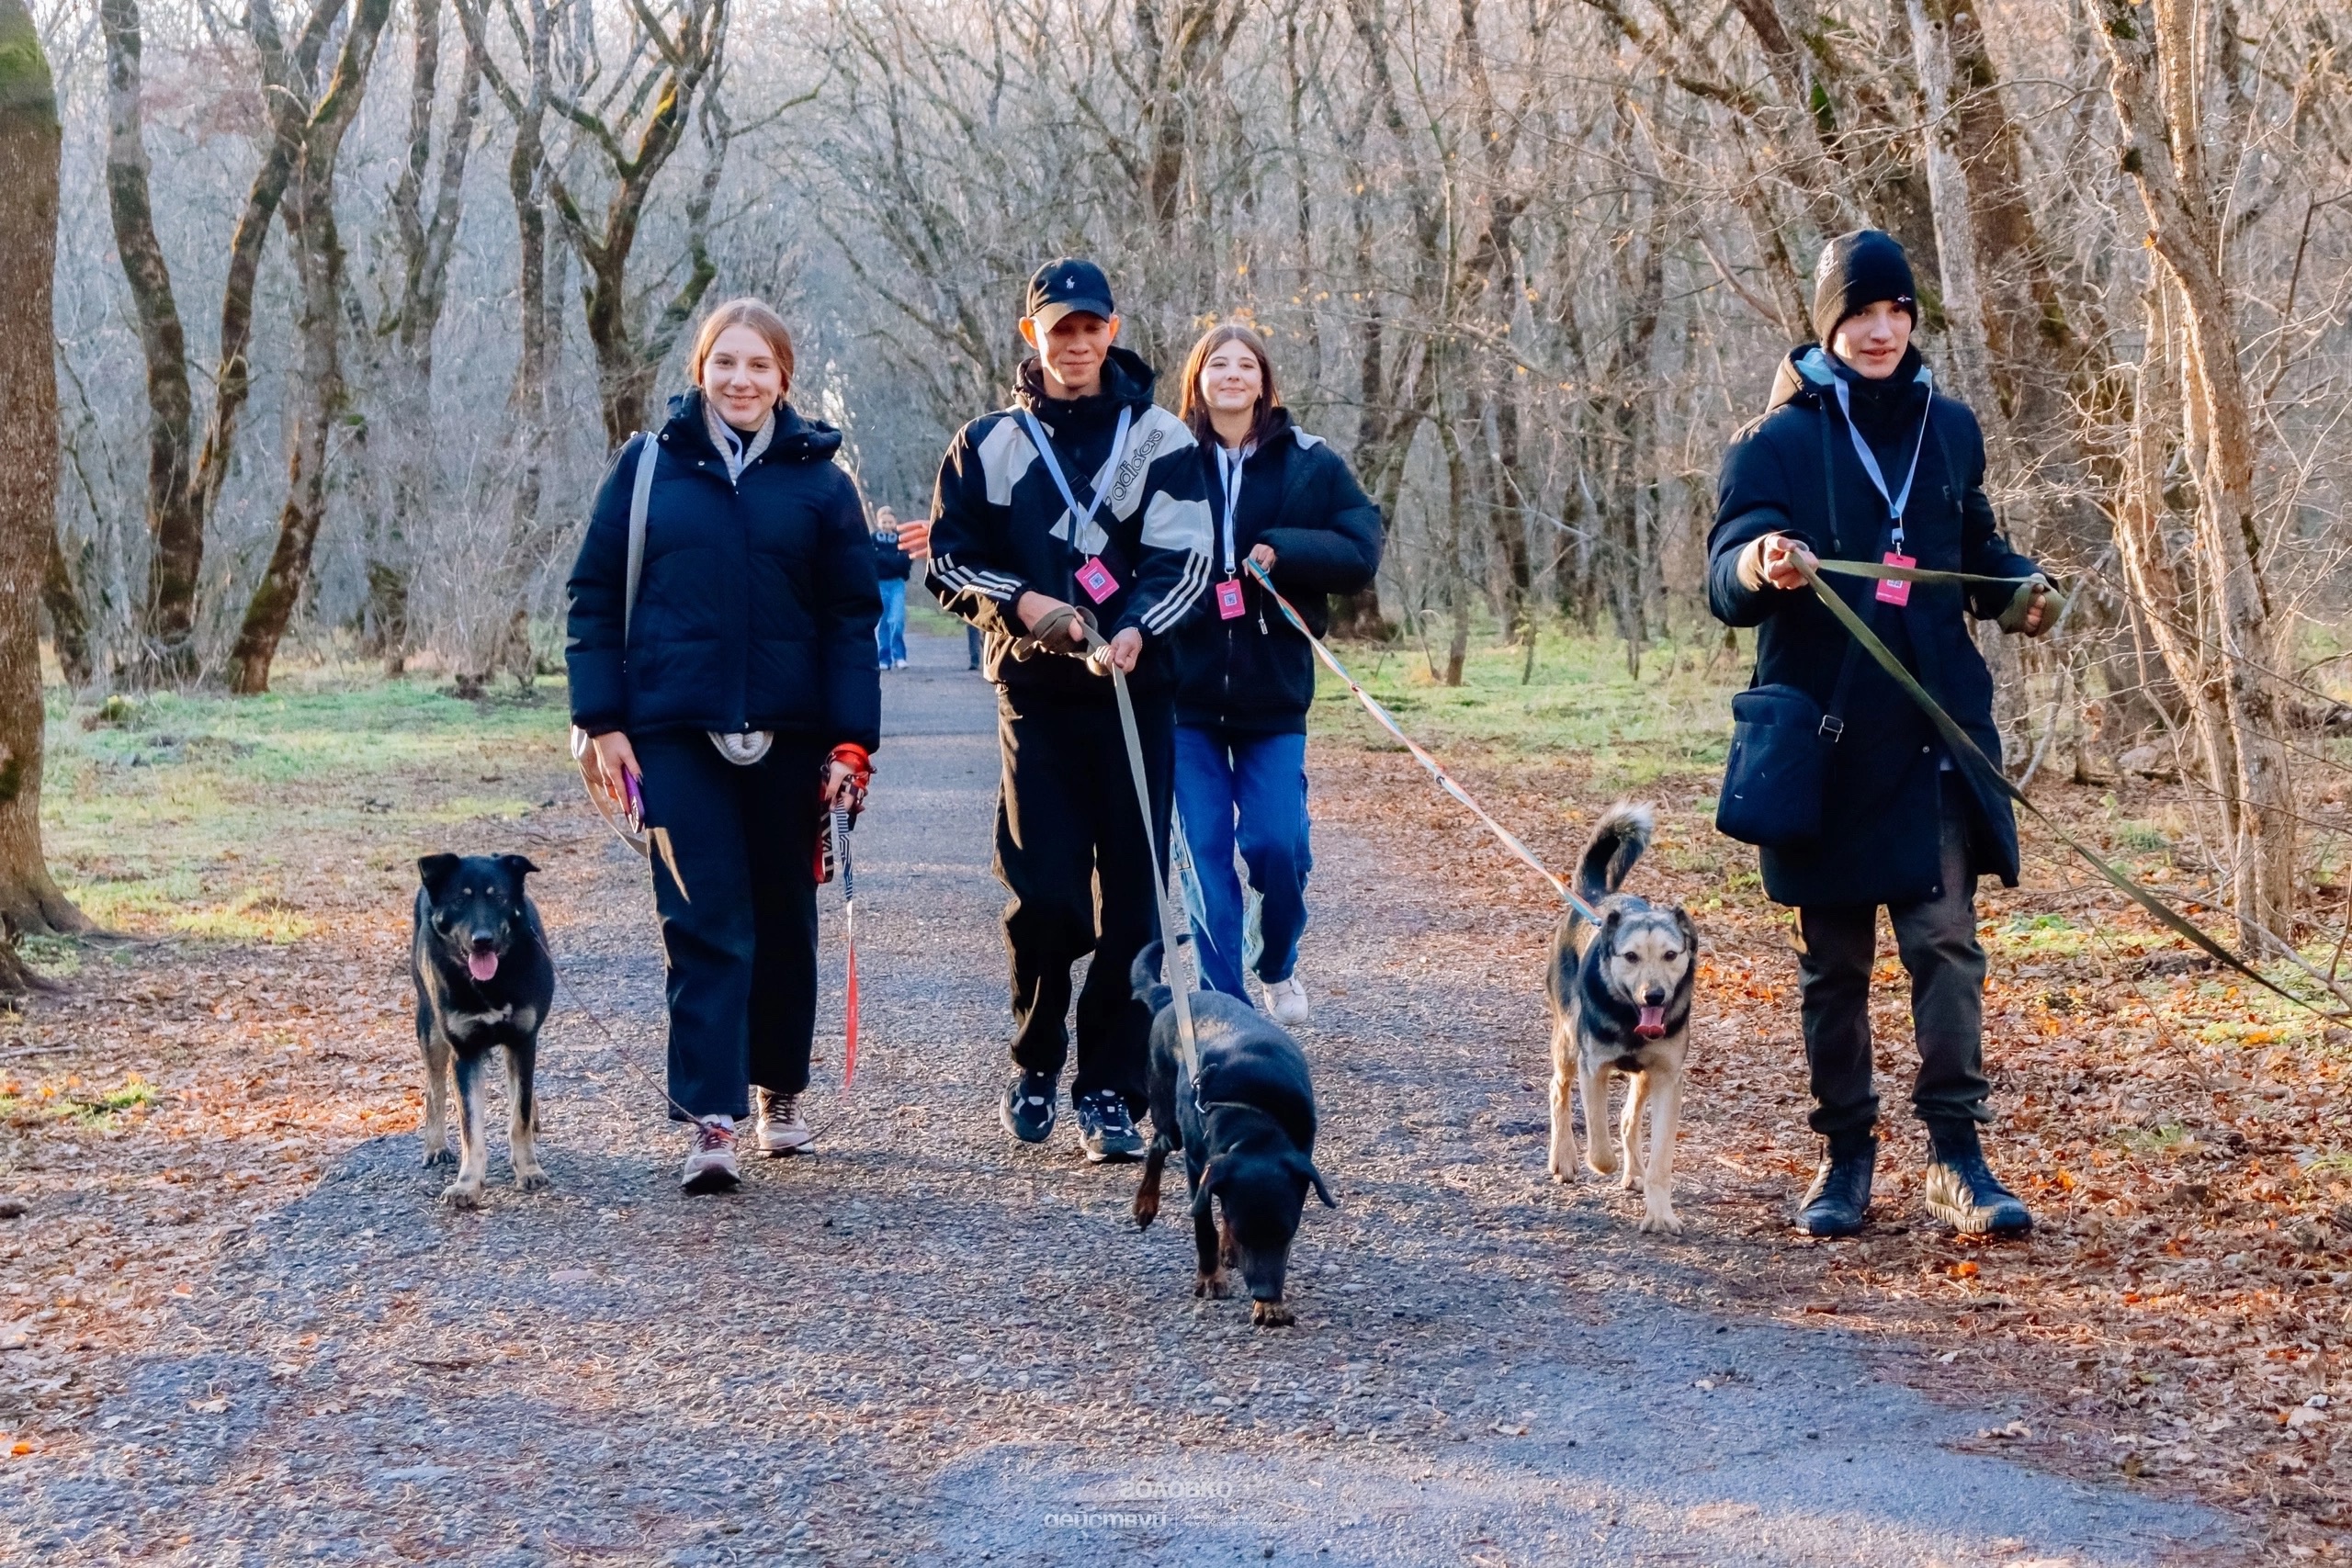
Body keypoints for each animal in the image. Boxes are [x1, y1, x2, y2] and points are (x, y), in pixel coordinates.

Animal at [413, 851, 555, 1213]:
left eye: (499, 898)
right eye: (459, 900)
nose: (482, 940)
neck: (491, 983)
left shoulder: (523, 1041)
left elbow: (519, 1113)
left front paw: (528, 1168)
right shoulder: (465, 1053)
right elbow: (470, 1128)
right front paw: (467, 1184)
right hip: (430, 1030)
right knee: (434, 1088)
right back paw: (435, 1146)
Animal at [1543, 808, 1693, 1241]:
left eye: (1671, 954)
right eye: (1630, 957)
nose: (1654, 996)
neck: (1629, 1017)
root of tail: (1594, 898)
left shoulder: (1667, 1078)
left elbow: (1660, 1159)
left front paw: (1659, 1212)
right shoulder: (1594, 1068)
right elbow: (1598, 1140)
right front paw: (1600, 1164)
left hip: (1643, 1077)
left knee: (1628, 1119)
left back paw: (1635, 1170)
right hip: (1566, 1042)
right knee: (1558, 1092)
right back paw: (1564, 1159)